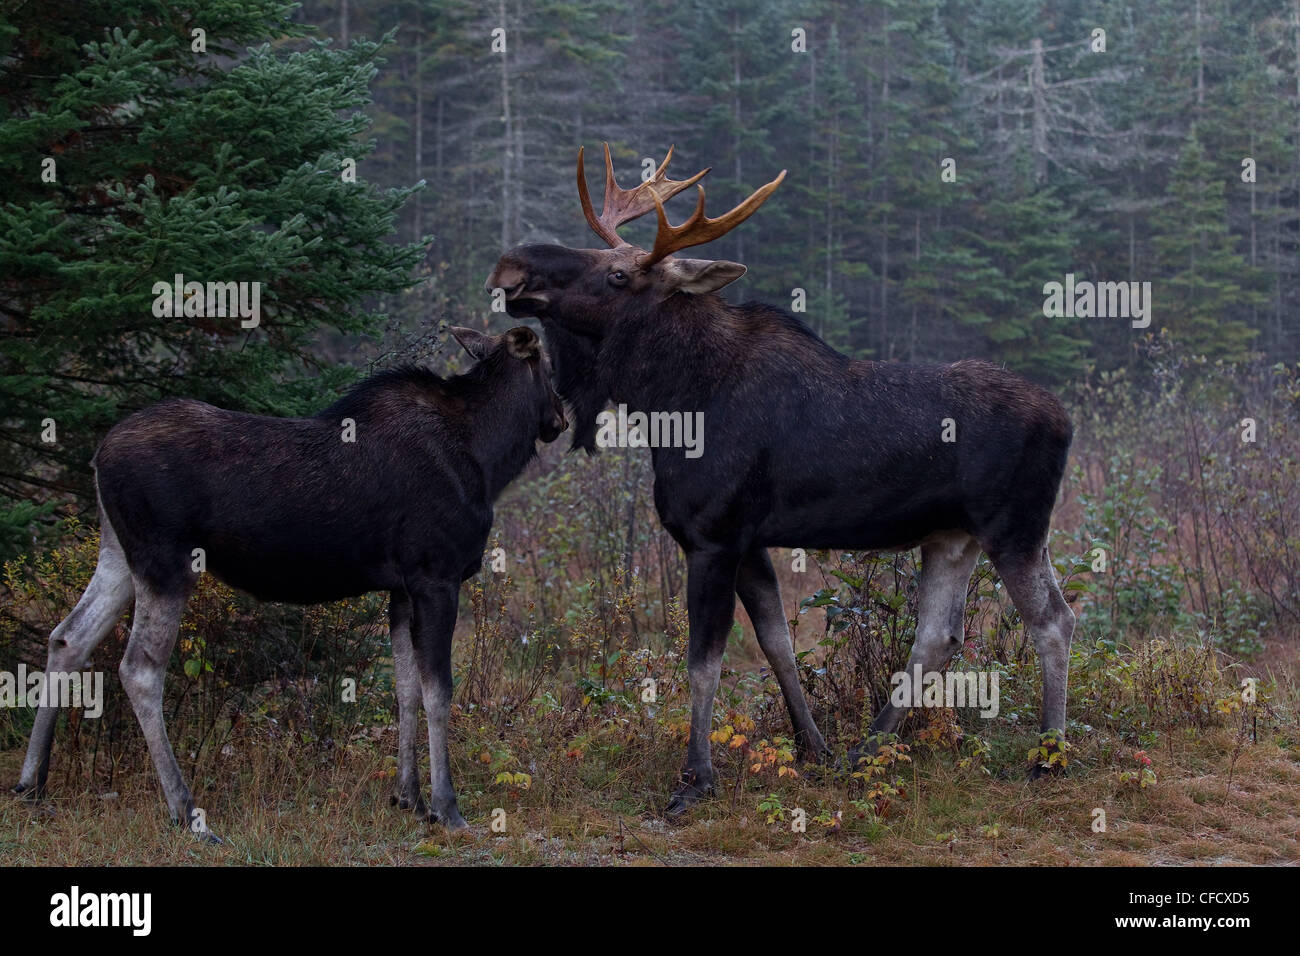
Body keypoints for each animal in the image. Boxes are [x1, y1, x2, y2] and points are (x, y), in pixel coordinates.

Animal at [13, 326, 567, 837]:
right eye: (548, 366)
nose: (561, 418)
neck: (488, 457)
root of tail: (98, 454)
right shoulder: (436, 576)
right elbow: (438, 691)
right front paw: (446, 807)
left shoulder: (401, 587)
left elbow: (405, 687)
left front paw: (406, 796)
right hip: (165, 561)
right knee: (139, 669)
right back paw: (187, 812)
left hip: (118, 555)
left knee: (68, 637)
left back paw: (31, 784)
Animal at [487, 145, 1076, 815]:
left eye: (617, 276)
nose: (513, 266)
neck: (670, 399)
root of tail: (1066, 420)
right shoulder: (750, 540)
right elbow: (778, 645)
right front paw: (812, 747)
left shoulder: (714, 536)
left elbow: (704, 663)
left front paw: (696, 779)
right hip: (954, 536)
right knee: (938, 636)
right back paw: (864, 751)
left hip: (1015, 527)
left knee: (1053, 622)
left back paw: (1049, 757)